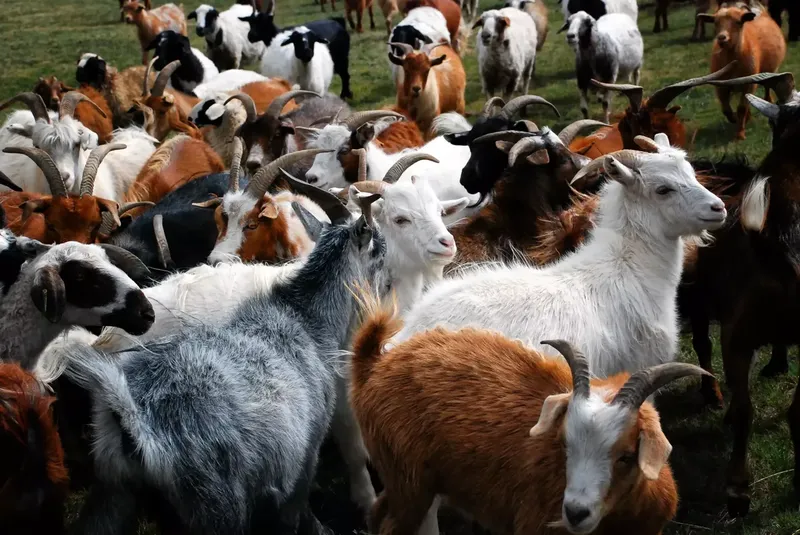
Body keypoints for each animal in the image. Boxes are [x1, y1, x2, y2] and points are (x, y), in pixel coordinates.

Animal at [64, 201, 387, 534]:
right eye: (379, 250)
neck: (303, 313)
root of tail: (132, 420)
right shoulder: (306, 447)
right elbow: (299, 508)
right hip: (215, 503)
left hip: (114, 492)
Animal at [354, 314, 706, 534]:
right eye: (564, 444)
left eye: (627, 456)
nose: (575, 513)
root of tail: (376, 365)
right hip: (410, 483)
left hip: (400, 481)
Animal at [697, 5, 786, 139]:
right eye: (716, 23)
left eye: (738, 22)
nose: (722, 38)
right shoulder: (720, 86)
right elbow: (726, 110)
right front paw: (734, 119)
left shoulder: (748, 84)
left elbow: (742, 108)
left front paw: (740, 134)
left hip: (769, 71)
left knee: (766, 88)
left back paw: (767, 101)